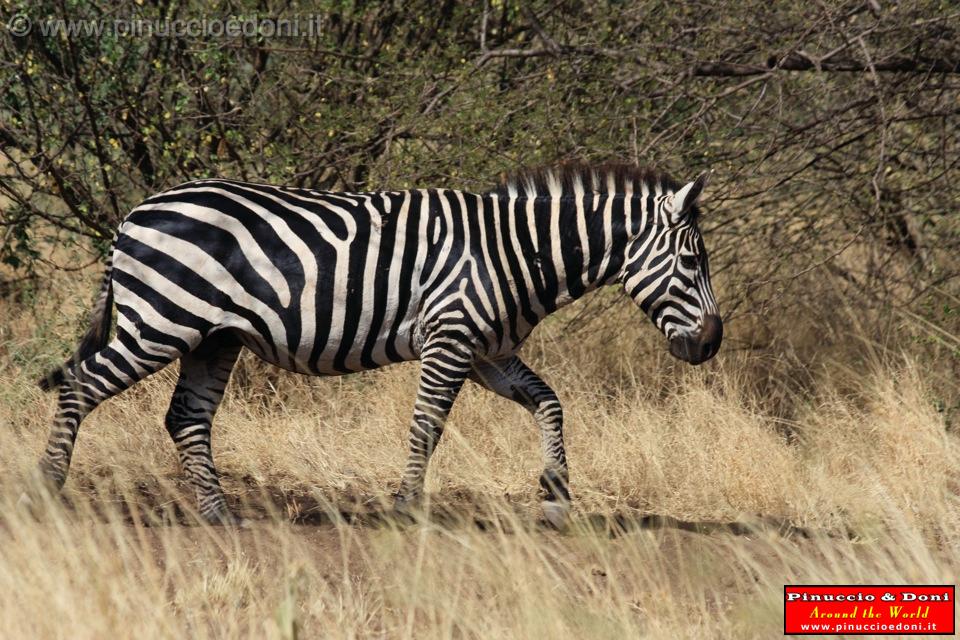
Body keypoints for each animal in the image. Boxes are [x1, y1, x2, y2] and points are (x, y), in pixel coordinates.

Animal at [28, 162, 720, 528]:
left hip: (213, 336)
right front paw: (406, 507)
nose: (712, 345)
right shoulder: (451, 337)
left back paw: (219, 513)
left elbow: (550, 403)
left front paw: (554, 497)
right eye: (692, 262)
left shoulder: (488, 351)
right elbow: (427, 426)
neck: (513, 252)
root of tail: (134, 212)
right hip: (160, 321)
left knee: (186, 417)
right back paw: (48, 488)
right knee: (82, 385)